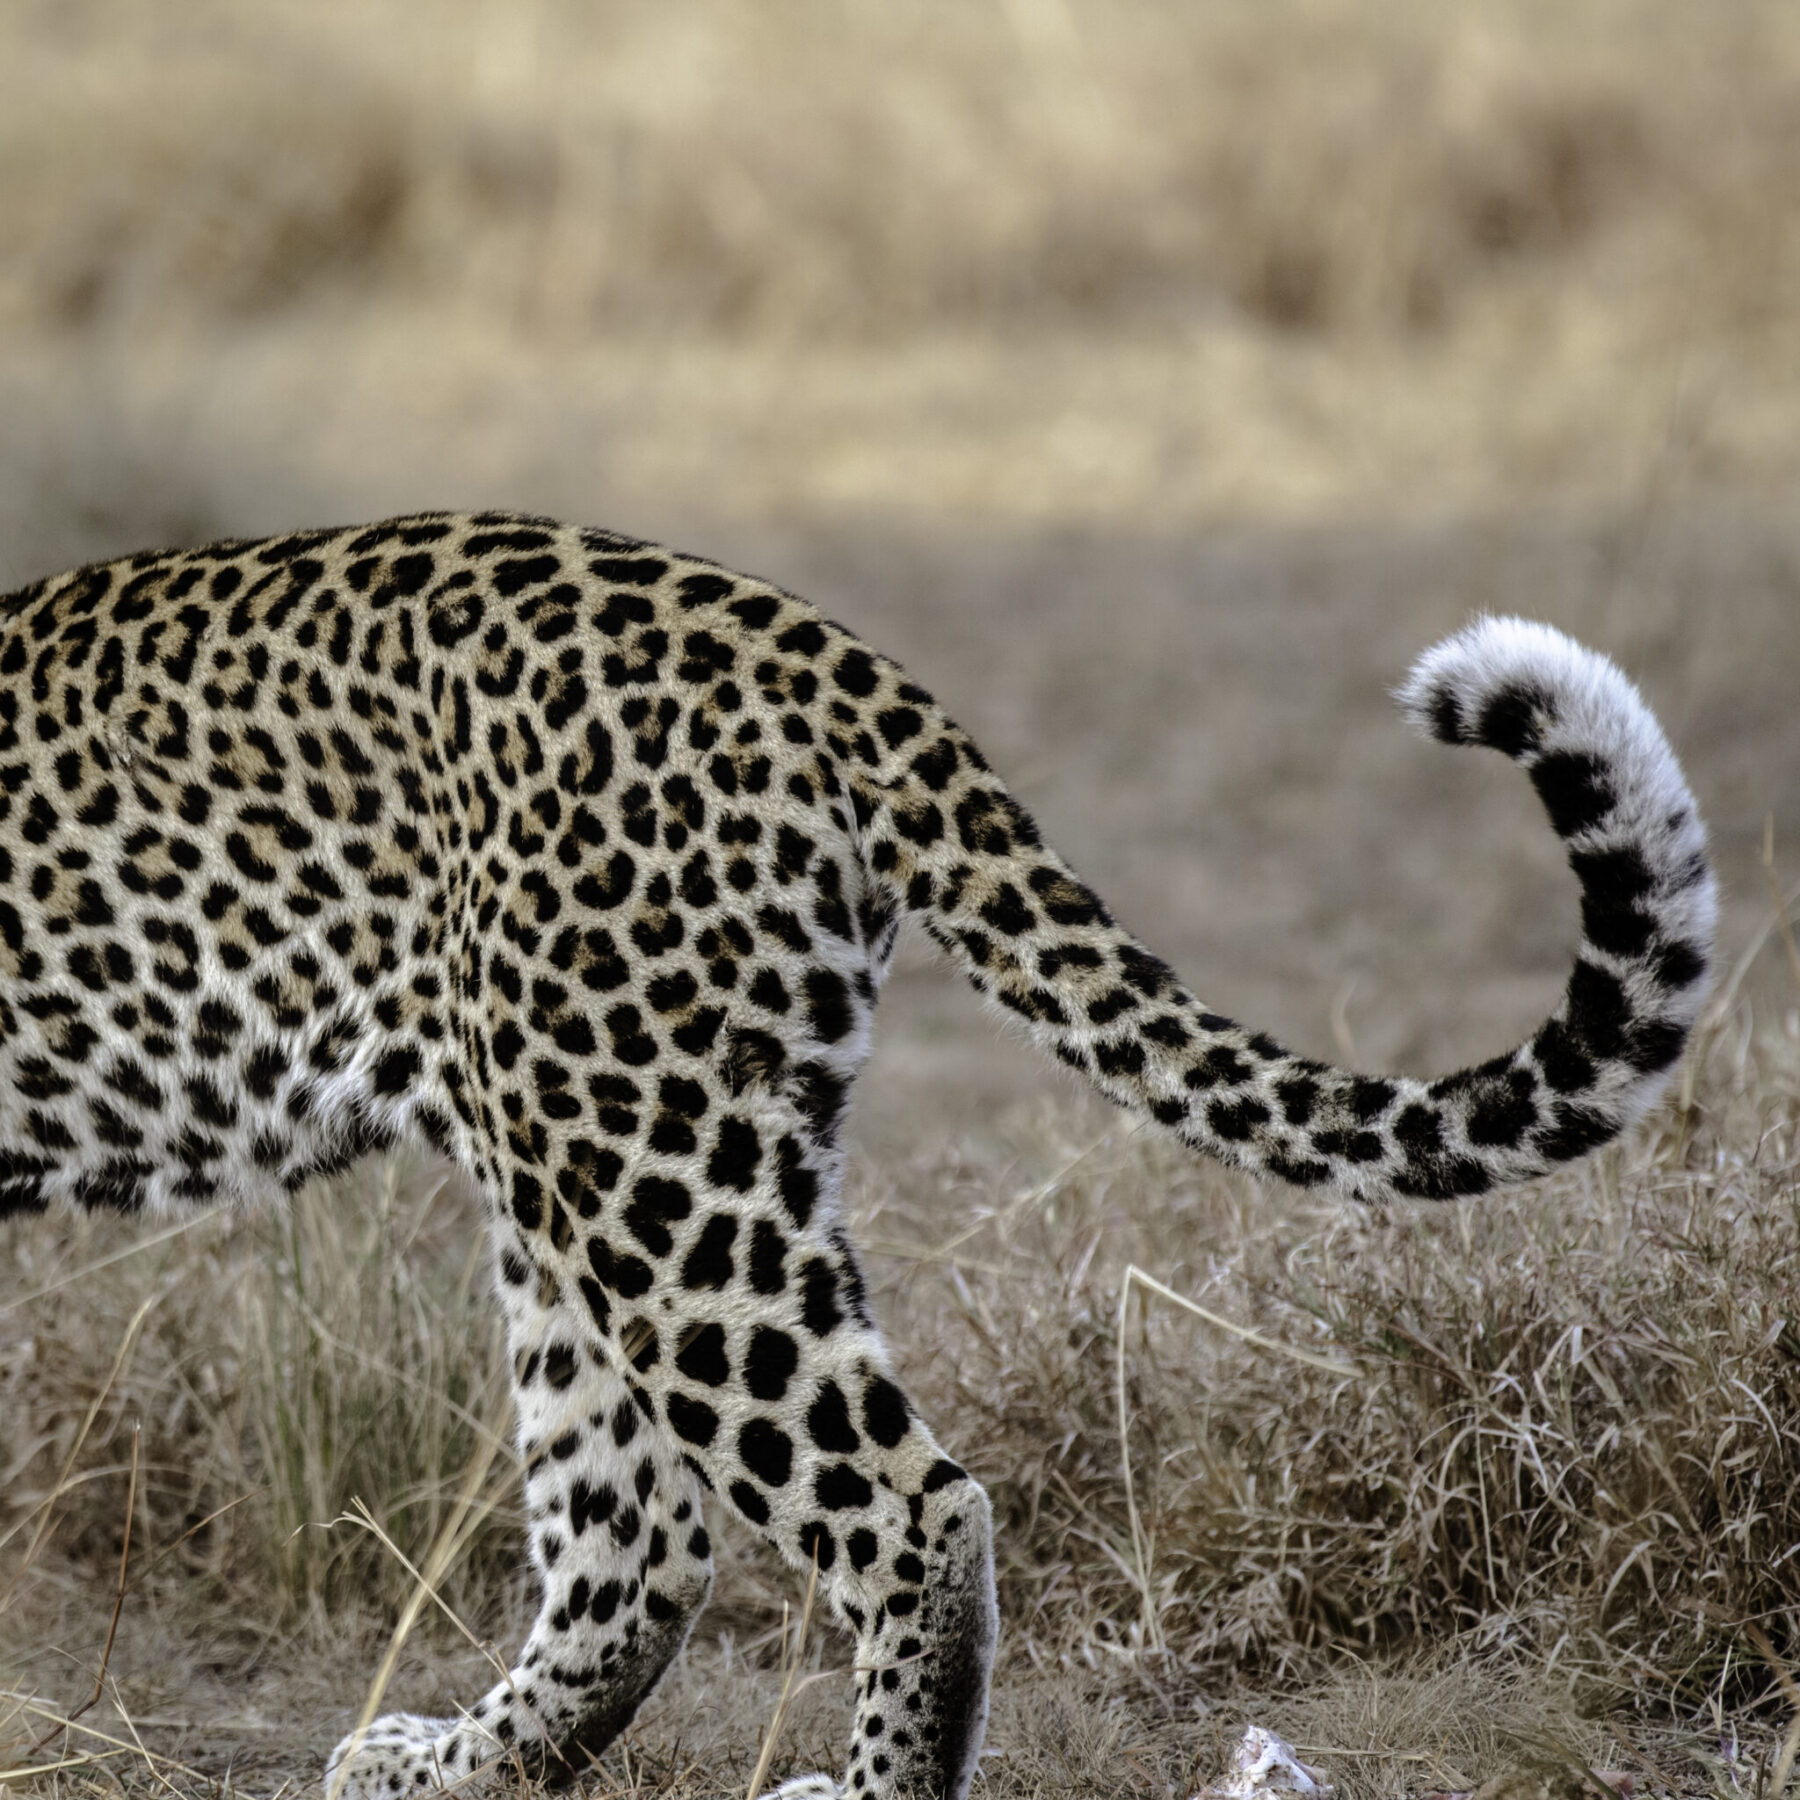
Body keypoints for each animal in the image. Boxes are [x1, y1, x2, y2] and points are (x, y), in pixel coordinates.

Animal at [0, 511, 1716, 1800]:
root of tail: (800, 638)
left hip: (642, 1161)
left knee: (901, 1508)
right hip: (608, 1149)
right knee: (641, 1542)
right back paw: (440, 1766)